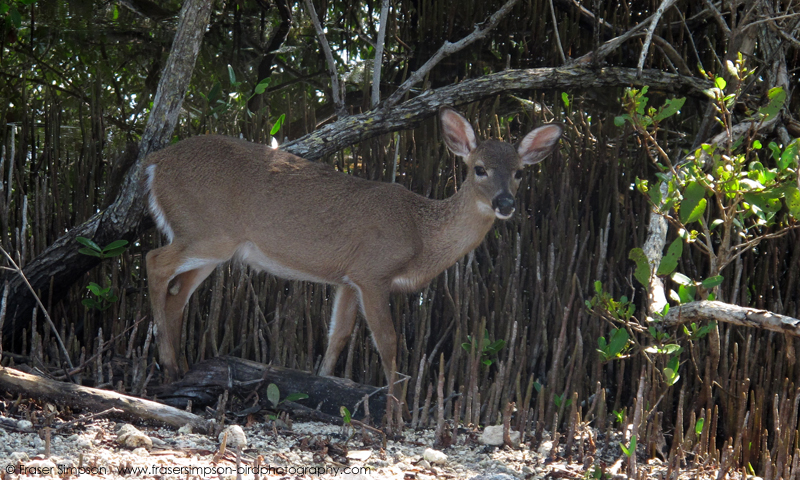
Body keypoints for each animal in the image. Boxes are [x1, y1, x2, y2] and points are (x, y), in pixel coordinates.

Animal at [144, 107, 564, 384]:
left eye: (520, 173)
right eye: (479, 169)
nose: (505, 203)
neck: (420, 233)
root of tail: (153, 163)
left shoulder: (347, 279)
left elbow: (338, 336)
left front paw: (323, 382)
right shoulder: (372, 271)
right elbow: (389, 341)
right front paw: (394, 415)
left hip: (211, 244)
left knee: (177, 293)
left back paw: (180, 368)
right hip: (206, 230)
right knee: (154, 261)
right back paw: (167, 363)